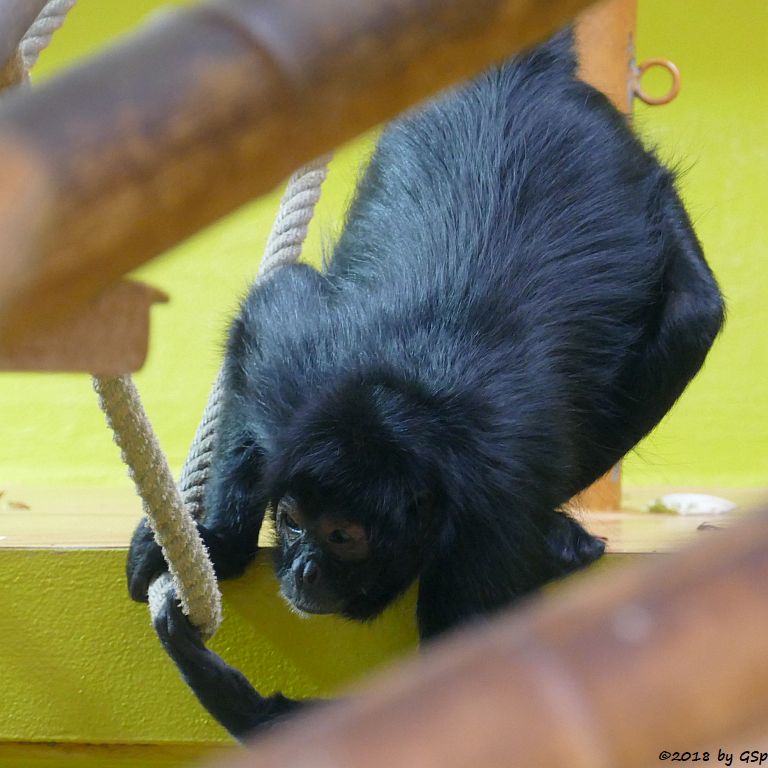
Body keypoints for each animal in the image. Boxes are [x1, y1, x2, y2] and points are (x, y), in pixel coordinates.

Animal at [124, 30, 720, 736]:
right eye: (293, 521)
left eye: (344, 538)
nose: (303, 569)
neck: (405, 400)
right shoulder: (295, 374)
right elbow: (267, 310)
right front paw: (219, 542)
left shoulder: (491, 516)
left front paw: (221, 686)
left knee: (693, 316)